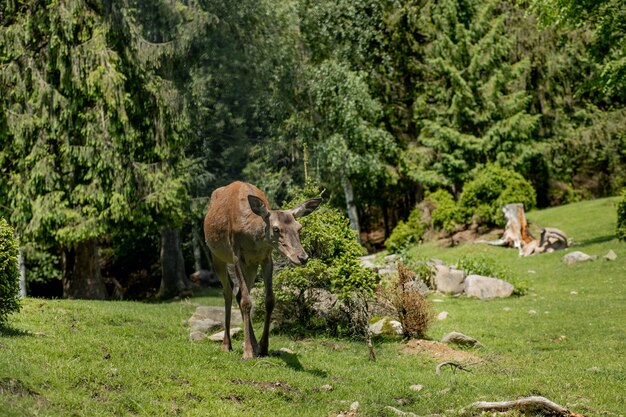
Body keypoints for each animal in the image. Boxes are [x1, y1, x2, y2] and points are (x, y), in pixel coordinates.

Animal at [204, 180, 322, 358]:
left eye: (299, 227)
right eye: (276, 229)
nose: (302, 257)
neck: (254, 239)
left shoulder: (266, 257)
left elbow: (269, 300)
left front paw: (263, 347)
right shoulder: (236, 255)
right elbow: (247, 301)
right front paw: (247, 352)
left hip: (251, 265)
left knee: (238, 293)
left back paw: (253, 344)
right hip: (217, 256)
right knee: (228, 292)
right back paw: (227, 344)